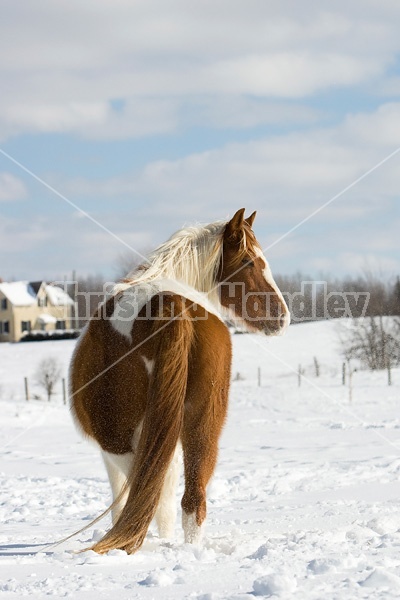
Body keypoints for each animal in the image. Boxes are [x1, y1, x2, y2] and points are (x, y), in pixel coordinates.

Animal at [70, 210, 290, 552]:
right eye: (249, 262)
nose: (281, 317)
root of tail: (169, 303)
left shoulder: (113, 451)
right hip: (204, 418)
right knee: (191, 500)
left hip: (120, 440)